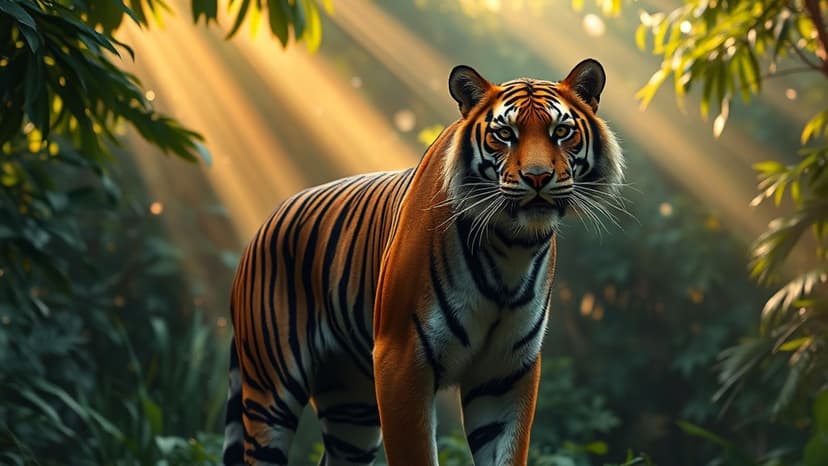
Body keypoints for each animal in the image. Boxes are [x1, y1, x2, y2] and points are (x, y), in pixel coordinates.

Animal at [222, 59, 624, 466]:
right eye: (504, 134)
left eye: (561, 132)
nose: (538, 177)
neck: (513, 247)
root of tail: (262, 227)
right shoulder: (401, 358)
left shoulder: (507, 371)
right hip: (271, 388)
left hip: (352, 405)